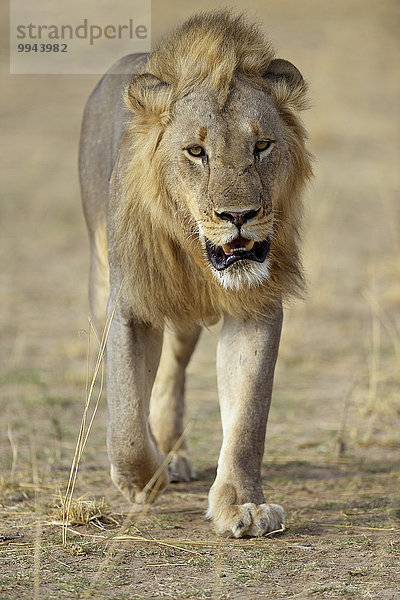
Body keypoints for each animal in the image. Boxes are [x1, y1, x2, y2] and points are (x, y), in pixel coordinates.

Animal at [79, 11, 312, 540]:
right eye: (195, 152)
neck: (194, 254)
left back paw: (175, 451)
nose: (239, 216)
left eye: (262, 145)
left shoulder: (255, 307)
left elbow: (247, 419)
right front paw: (142, 482)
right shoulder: (129, 304)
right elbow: (125, 421)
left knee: (171, 371)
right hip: (102, 278)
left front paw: (242, 506)